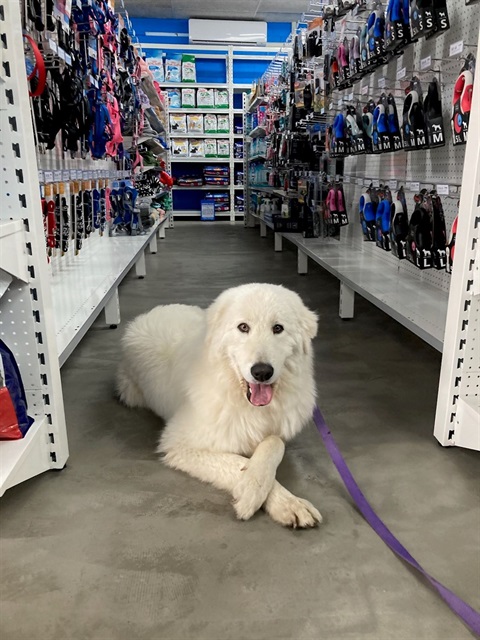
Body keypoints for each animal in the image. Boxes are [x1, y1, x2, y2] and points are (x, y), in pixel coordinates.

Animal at [117, 282, 322, 528]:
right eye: (243, 327)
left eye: (278, 328)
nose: (262, 372)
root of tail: (151, 313)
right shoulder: (179, 444)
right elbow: (236, 462)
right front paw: (253, 492)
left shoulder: (277, 429)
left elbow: (274, 443)